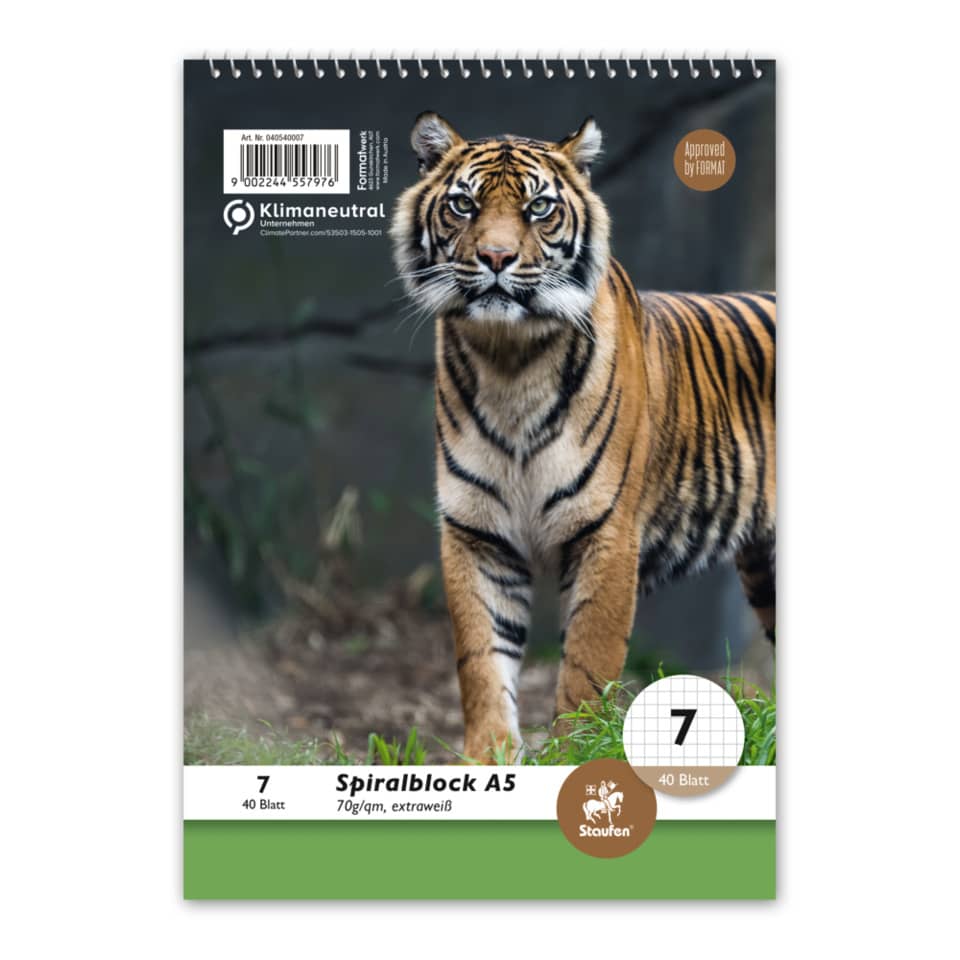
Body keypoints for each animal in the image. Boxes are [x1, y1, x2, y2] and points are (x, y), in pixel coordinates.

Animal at [391, 112, 776, 763]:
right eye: (464, 205)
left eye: (539, 207)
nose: (496, 256)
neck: (510, 362)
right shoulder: (477, 533)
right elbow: (481, 657)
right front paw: (489, 757)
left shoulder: (608, 532)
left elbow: (586, 666)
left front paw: (576, 755)